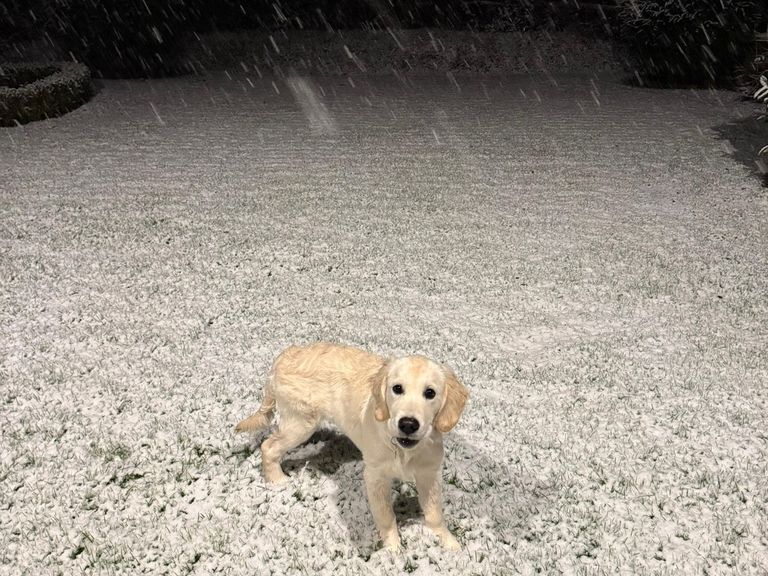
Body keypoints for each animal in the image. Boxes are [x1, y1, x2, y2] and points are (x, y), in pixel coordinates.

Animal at [237, 340, 472, 552]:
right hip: (300, 423)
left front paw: (449, 544)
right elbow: (386, 515)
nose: (407, 424)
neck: (404, 450)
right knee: (268, 446)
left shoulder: (429, 474)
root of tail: (286, 354)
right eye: (397, 389)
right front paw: (393, 553)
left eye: (430, 393)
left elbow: (434, 513)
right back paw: (278, 482)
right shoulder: (375, 476)